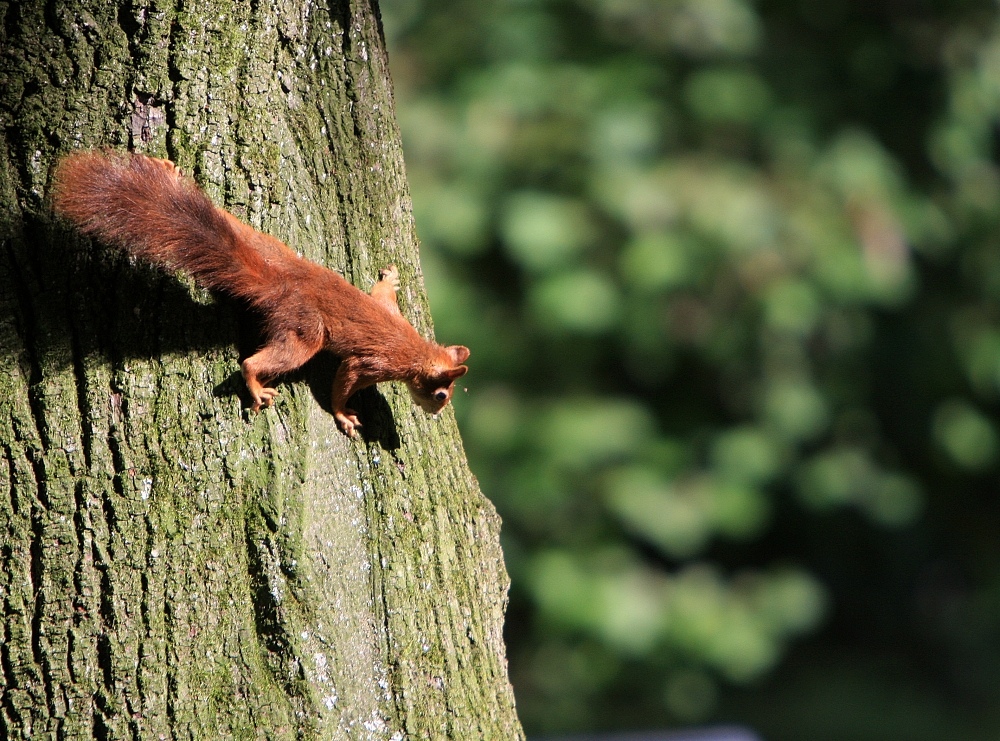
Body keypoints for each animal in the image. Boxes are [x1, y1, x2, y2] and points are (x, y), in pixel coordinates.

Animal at [53, 152, 472, 440]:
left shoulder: (390, 314)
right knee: (256, 361)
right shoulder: (372, 363)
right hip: (305, 331)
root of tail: (279, 282)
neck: (417, 350)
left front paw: (391, 276)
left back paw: (171, 173)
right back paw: (256, 385)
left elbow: (383, 293)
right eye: (440, 394)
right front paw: (343, 414)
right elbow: (344, 381)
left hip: (265, 244)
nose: (436, 414)